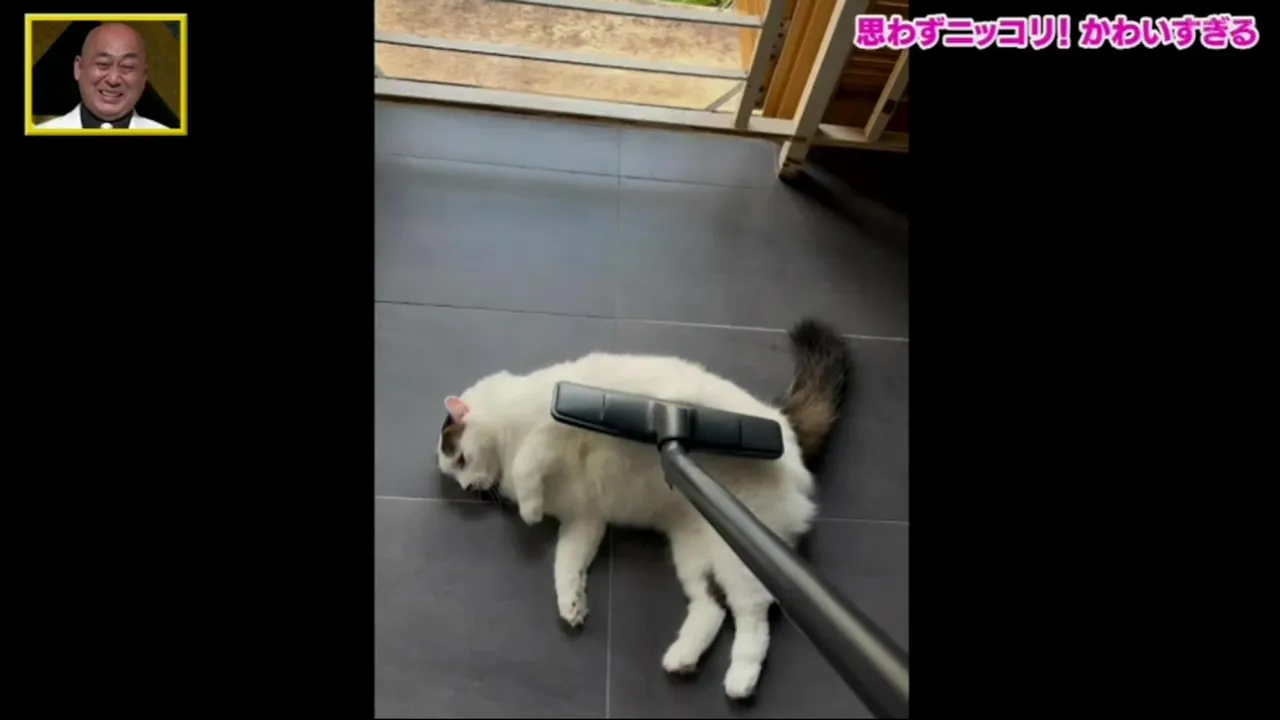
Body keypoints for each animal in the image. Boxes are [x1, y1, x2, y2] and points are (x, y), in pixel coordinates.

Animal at [435, 318, 853, 700]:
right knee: (712, 608)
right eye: (456, 473)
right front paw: (571, 604)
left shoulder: (551, 431)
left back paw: (741, 680)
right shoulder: (583, 519)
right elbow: (566, 565)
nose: (467, 487)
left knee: (753, 615)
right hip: (693, 554)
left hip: (739, 556)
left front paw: (529, 510)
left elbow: (528, 463)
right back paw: (681, 658)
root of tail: (783, 424)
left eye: (459, 459)